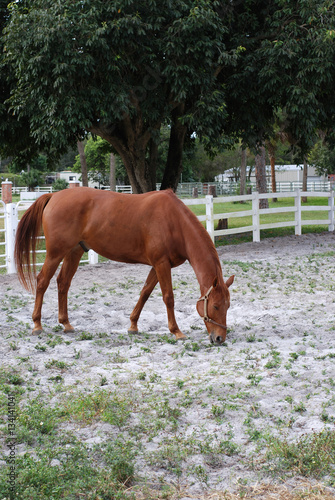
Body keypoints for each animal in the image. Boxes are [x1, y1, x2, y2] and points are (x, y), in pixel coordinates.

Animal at [13, 188, 234, 344]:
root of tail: (53, 196)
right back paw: (37, 324)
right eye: (215, 305)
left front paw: (133, 325)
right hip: (55, 253)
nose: (219, 338)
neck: (175, 222)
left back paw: (66, 324)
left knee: (63, 283)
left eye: (228, 305)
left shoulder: (158, 265)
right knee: (43, 281)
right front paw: (176, 331)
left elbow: (145, 293)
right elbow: (168, 297)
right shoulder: (161, 264)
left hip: (74, 252)